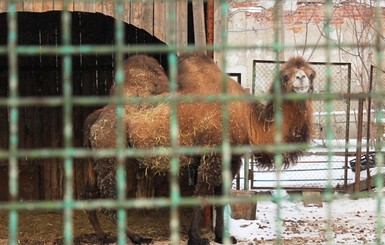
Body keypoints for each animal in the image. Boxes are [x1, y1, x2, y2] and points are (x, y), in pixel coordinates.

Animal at [81, 52, 316, 244]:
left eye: (311, 74)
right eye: (285, 76)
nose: (301, 78)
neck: (247, 118)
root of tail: (96, 118)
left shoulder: (231, 157)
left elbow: (221, 195)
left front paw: (223, 236)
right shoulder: (212, 154)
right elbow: (203, 192)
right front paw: (196, 237)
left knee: (91, 195)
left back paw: (105, 236)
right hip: (110, 153)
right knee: (108, 198)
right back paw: (137, 237)